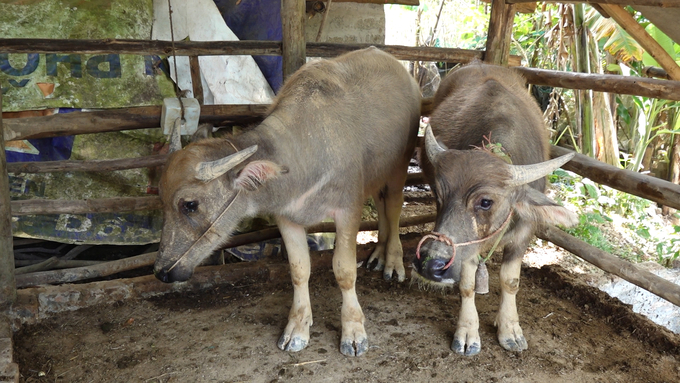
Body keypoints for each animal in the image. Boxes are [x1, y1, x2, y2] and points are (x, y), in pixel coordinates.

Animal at [153, 48, 424, 356]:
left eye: (190, 204)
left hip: (400, 164)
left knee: (393, 205)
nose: (161, 272)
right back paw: (378, 254)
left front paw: (354, 332)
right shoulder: (286, 217)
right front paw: (297, 328)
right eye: (160, 197)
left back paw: (393, 261)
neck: (304, 152)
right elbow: (298, 270)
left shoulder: (348, 210)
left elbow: (344, 271)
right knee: (380, 202)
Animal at [412, 60, 576, 356]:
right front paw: (468, 332)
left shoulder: (524, 233)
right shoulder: (468, 247)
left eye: (486, 201)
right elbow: (467, 285)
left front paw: (510, 328)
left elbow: (510, 282)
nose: (431, 264)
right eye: (440, 195)